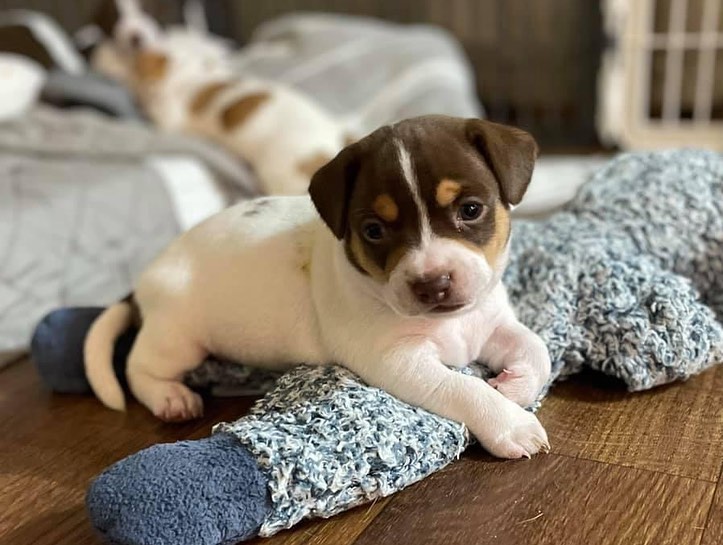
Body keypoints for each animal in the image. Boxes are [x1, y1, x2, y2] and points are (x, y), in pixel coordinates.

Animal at [85, 115, 552, 460]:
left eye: (470, 210)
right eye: (374, 230)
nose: (433, 284)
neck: (450, 322)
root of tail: (144, 279)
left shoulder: (493, 322)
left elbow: (538, 350)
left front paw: (514, 387)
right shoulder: (398, 361)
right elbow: (462, 388)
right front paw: (510, 423)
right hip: (179, 337)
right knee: (139, 366)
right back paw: (170, 396)